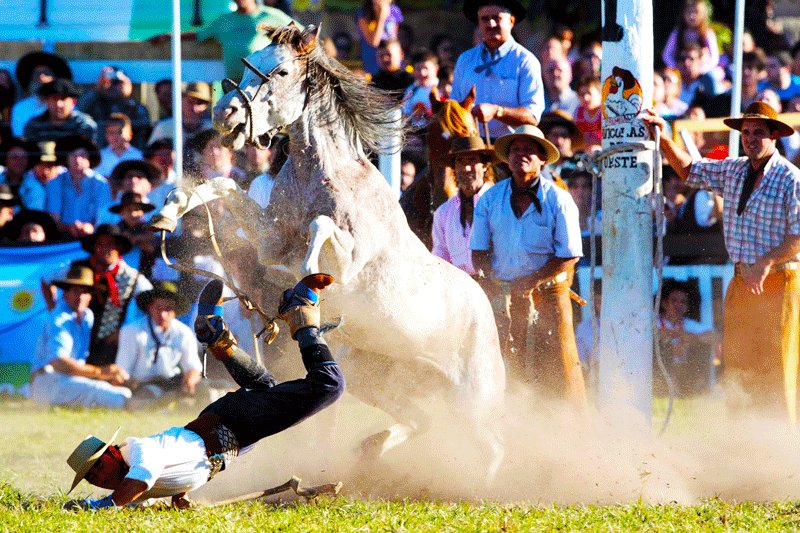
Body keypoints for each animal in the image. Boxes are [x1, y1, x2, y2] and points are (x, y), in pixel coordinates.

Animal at [147, 22, 504, 476]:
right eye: (251, 63)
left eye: (280, 71)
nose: (223, 113)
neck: (322, 174)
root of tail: (485, 307)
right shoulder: (269, 240)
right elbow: (223, 187)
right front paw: (167, 212)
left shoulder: (350, 262)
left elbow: (320, 229)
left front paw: (307, 282)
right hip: (380, 379)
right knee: (420, 420)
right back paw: (373, 447)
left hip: (473, 399)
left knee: (492, 448)